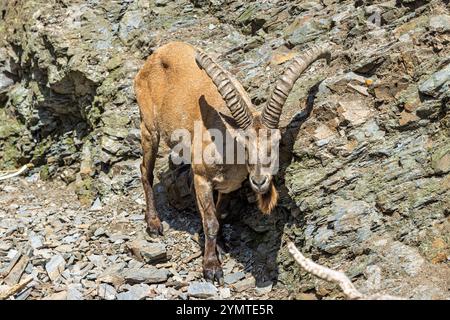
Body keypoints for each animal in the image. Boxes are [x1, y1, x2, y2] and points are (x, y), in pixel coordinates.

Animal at [134, 41, 330, 284]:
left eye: (276, 142)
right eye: (243, 145)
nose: (259, 181)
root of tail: (158, 52)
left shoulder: (229, 186)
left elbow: (219, 214)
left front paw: (220, 244)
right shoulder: (203, 179)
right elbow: (211, 221)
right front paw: (211, 268)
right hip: (149, 127)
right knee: (145, 170)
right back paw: (153, 223)